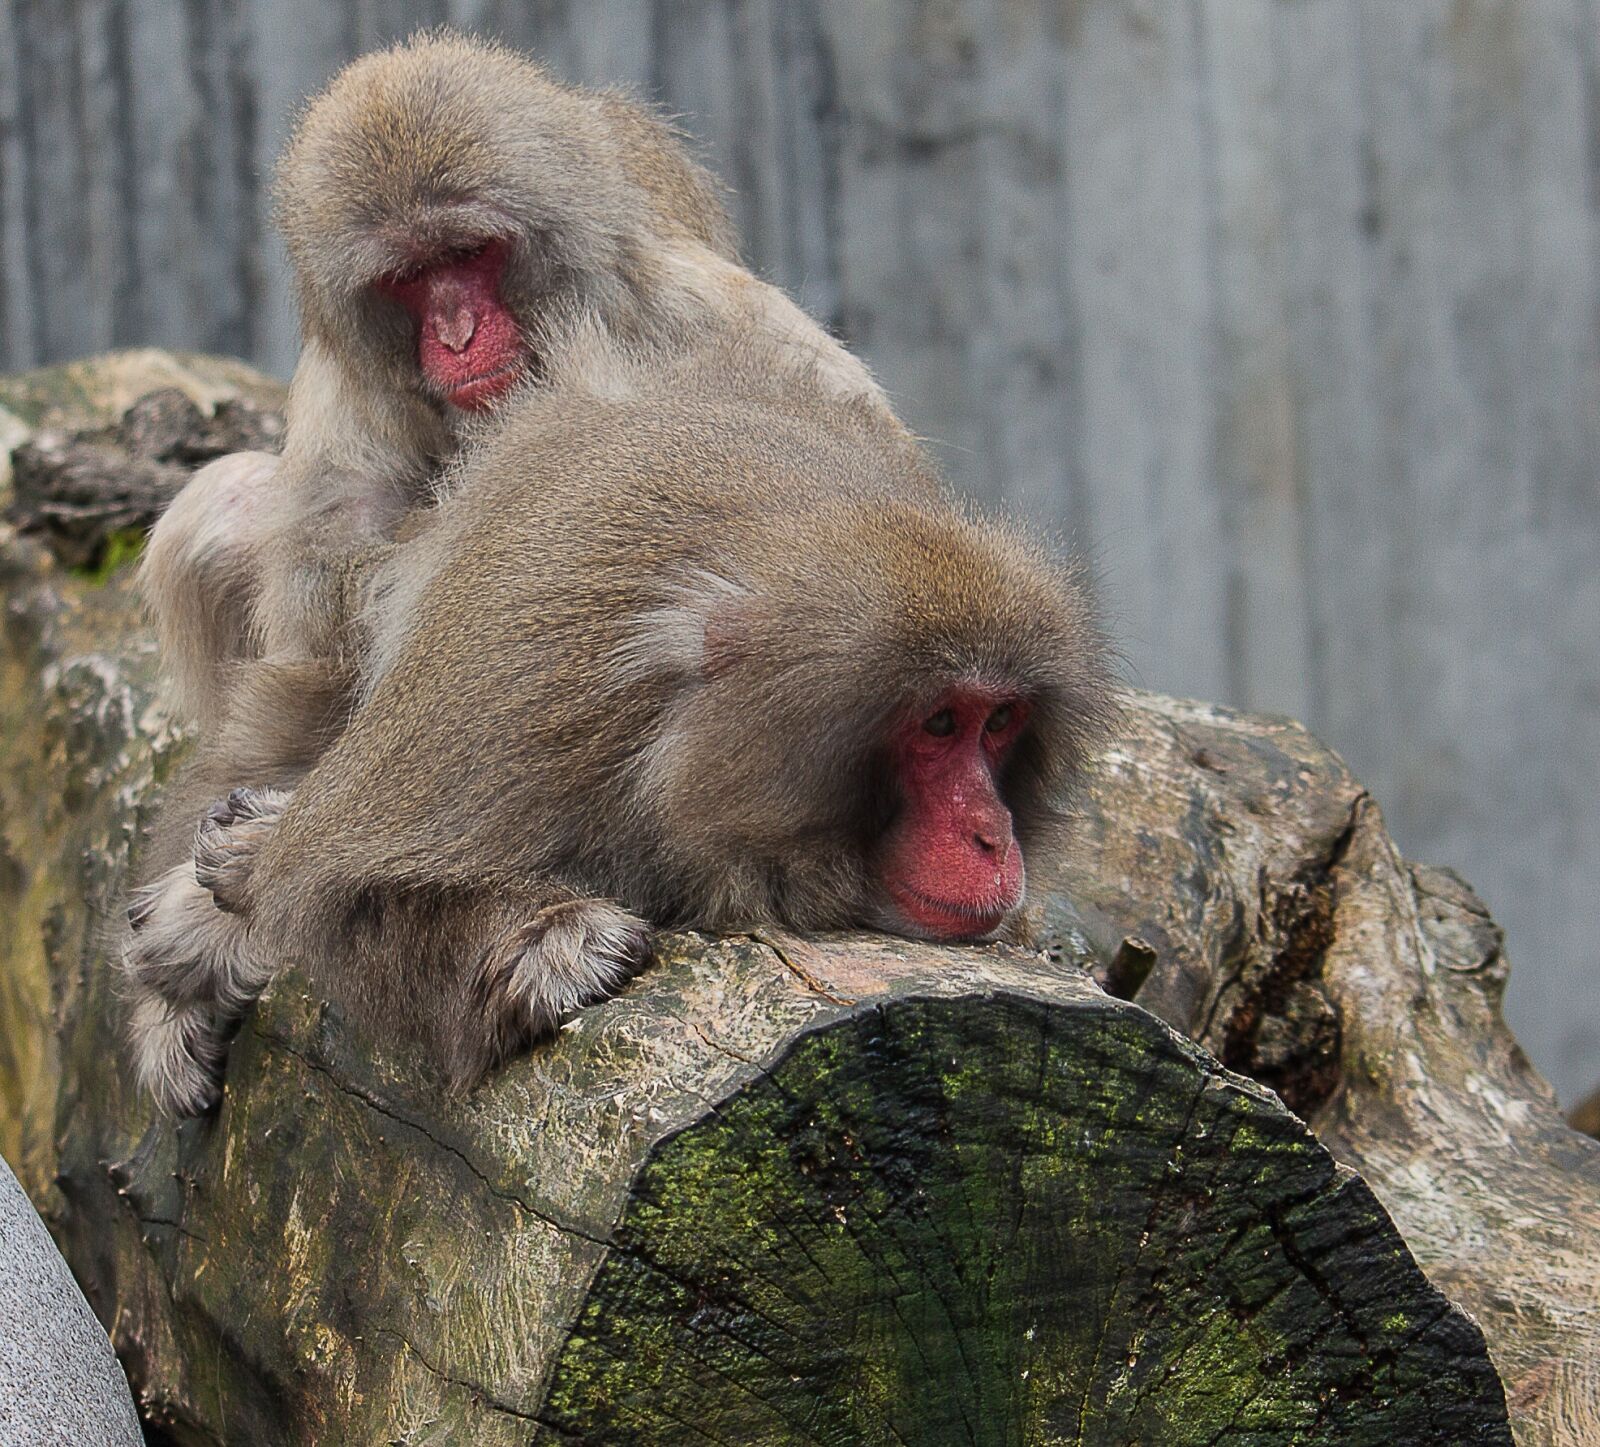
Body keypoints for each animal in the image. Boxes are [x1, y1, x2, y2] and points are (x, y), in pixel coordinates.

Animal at [123, 31, 896, 1107]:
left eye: (471, 254)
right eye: (409, 278)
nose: (455, 335)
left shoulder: (697, 318)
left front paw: (233, 899)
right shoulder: (348, 404)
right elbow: (322, 664)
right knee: (218, 515)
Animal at [134, 320, 1113, 1107]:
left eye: (999, 722)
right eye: (940, 723)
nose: (992, 834)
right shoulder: (542, 698)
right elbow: (335, 885)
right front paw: (549, 944)